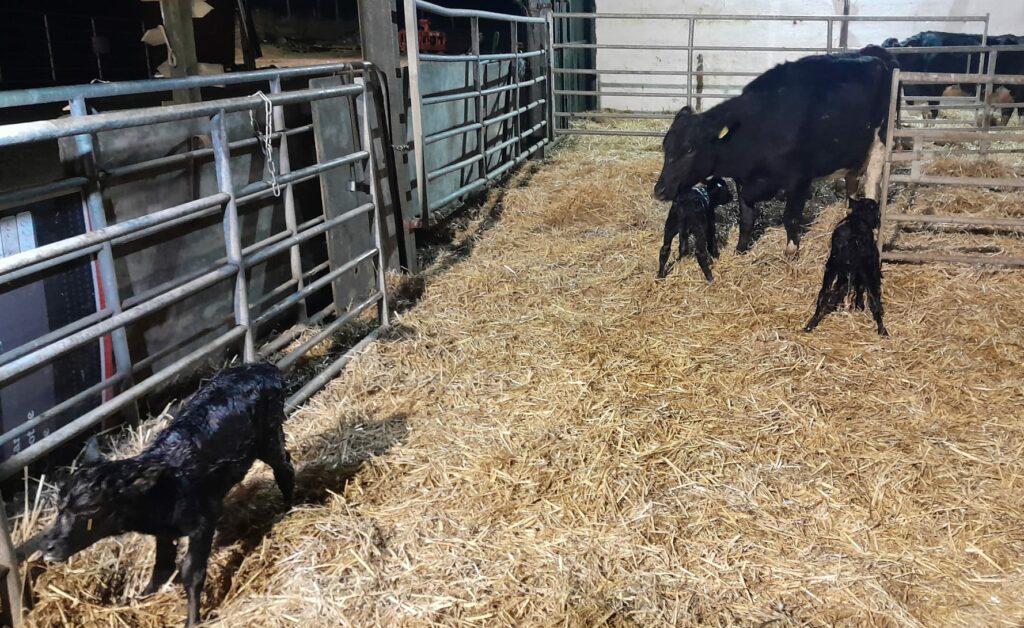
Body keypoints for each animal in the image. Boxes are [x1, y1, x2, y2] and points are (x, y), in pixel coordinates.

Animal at [41, 363, 294, 627]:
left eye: (92, 507)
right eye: (59, 506)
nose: (47, 546)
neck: (166, 488)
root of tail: (263, 368)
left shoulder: (203, 521)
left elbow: (192, 572)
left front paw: (193, 619)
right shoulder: (164, 531)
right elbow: (162, 567)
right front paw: (137, 598)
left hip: (268, 437)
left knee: (284, 467)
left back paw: (287, 508)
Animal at [654, 45, 899, 255]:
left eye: (690, 149)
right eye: (666, 146)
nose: (659, 190)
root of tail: (874, 51)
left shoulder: (800, 179)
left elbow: (790, 218)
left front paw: (791, 250)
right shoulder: (743, 181)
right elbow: (747, 218)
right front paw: (740, 250)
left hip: (879, 143)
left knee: (872, 182)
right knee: (852, 180)